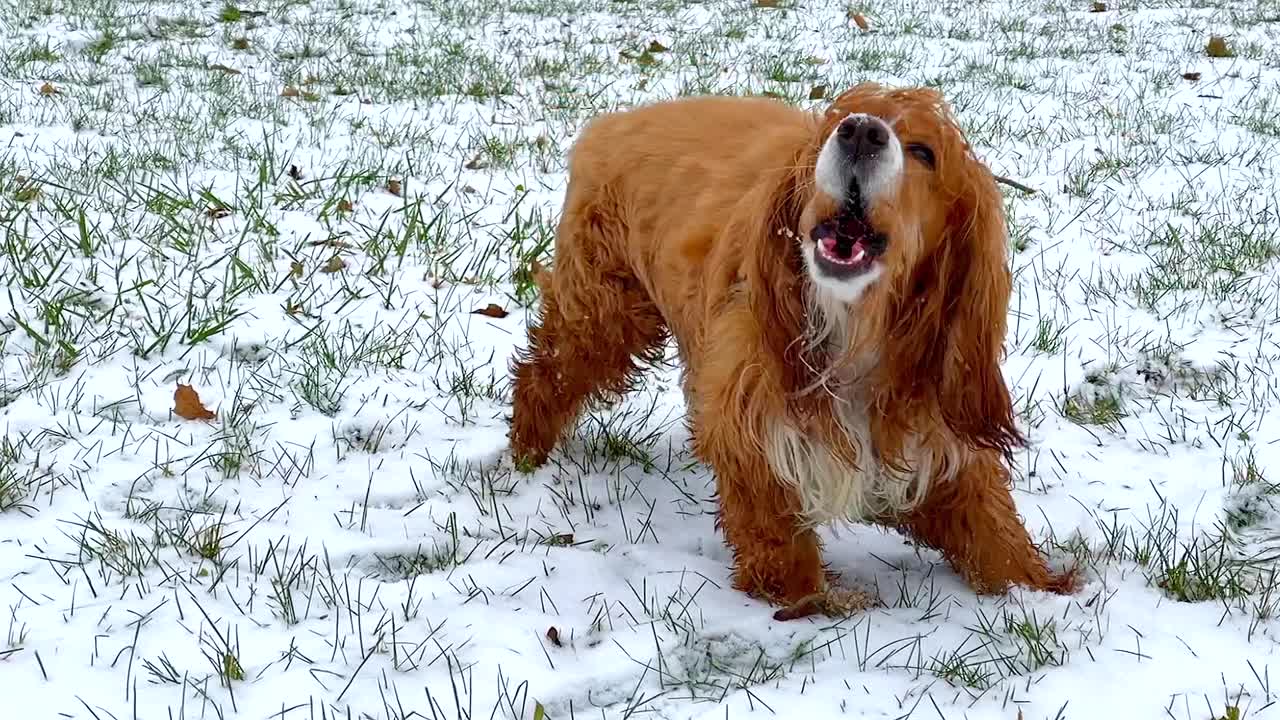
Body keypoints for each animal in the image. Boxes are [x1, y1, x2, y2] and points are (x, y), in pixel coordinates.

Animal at [504, 79, 1075, 617]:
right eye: (835, 127)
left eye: (924, 152)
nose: (861, 133)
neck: (853, 330)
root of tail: (615, 121)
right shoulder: (751, 424)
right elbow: (775, 538)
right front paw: (803, 599)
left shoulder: (938, 433)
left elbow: (993, 533)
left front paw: (1041, 592)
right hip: (602, 312)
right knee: (544, 374)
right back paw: (528, 456)